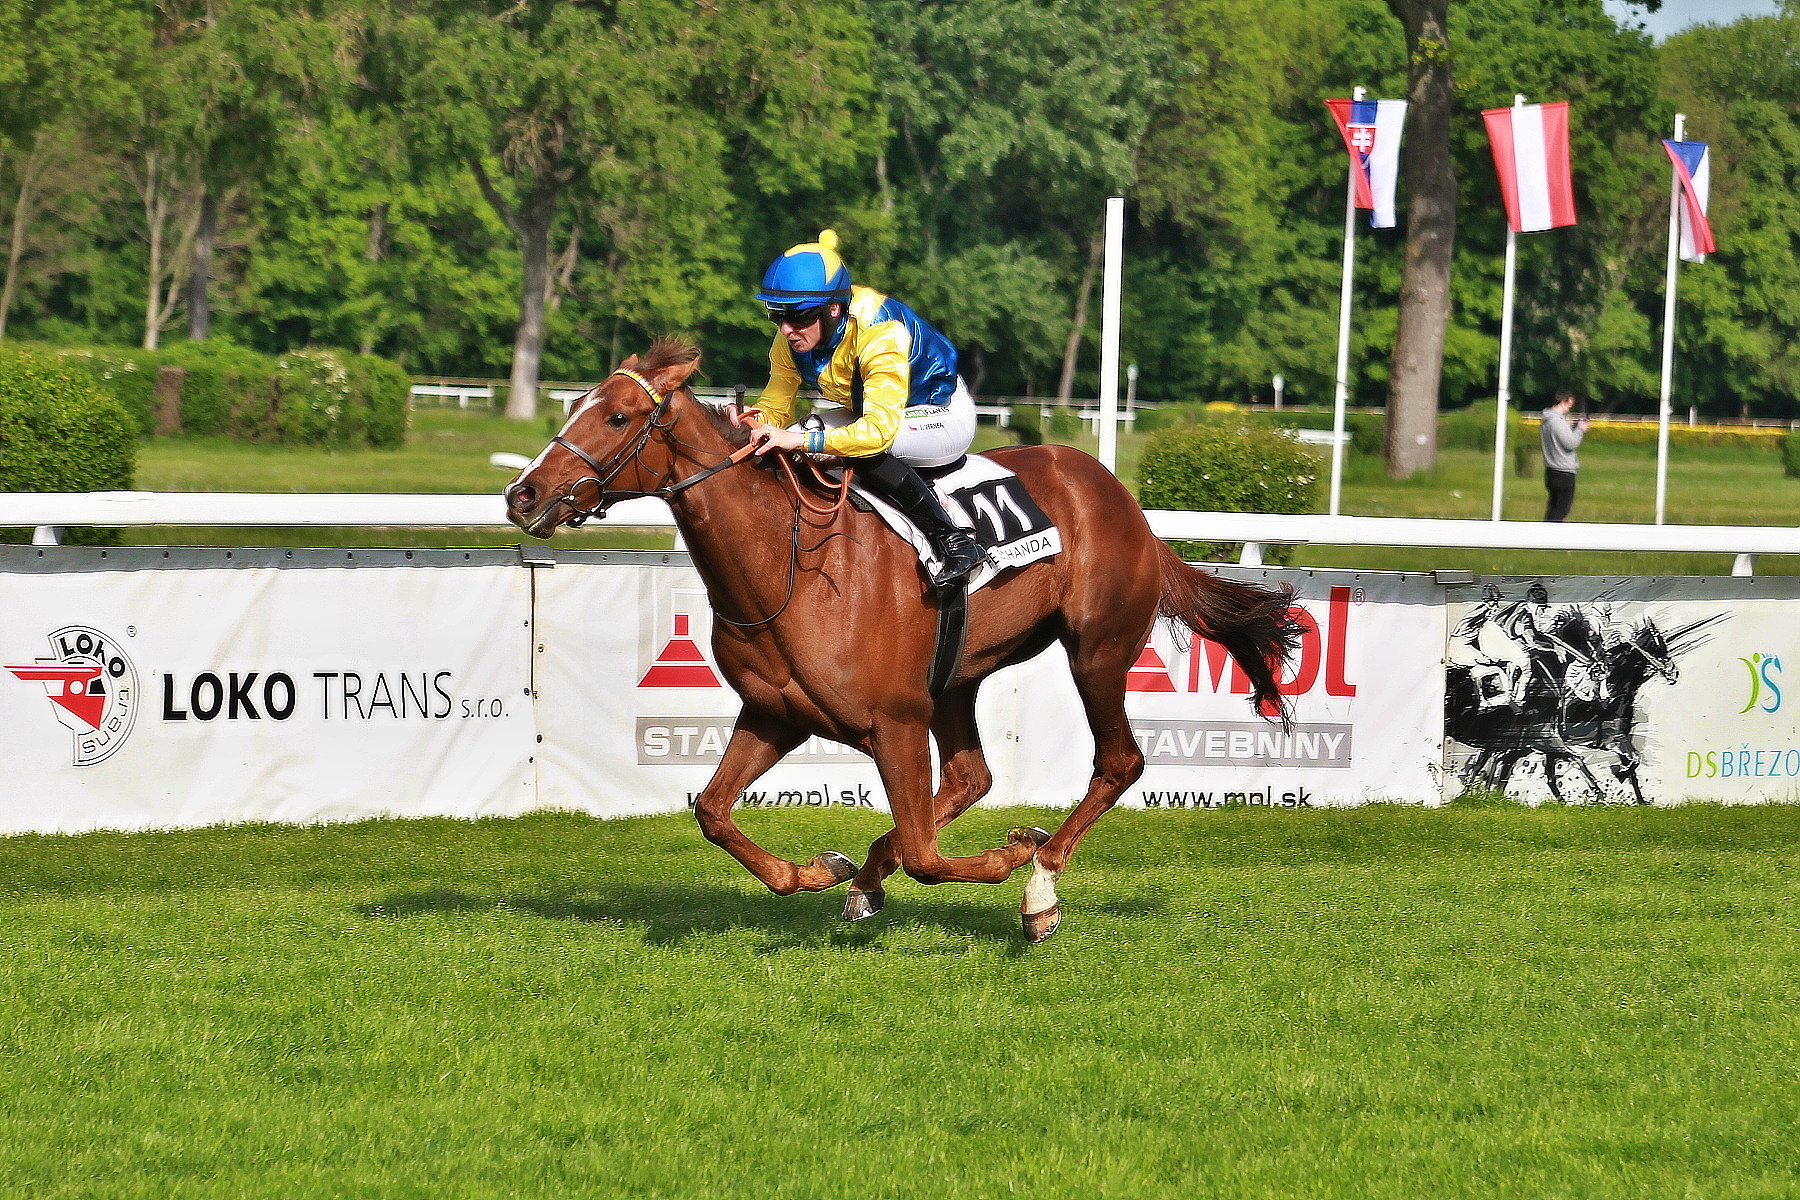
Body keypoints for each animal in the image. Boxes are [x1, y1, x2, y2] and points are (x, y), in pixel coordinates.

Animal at [500, 338, 1303, 935]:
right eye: (575, 405)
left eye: (616, 417)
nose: (522, 493)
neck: (787, 563)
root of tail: (1121, 498)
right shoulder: (776, 714)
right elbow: (714, 811)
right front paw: (821, 871)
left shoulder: (894, 721)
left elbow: (925, 852)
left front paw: (1010, 857)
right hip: (958, 675)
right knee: (972, 776)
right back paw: (877, 874)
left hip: (1096, 651)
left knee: (1119, 762)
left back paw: (1039, 885)